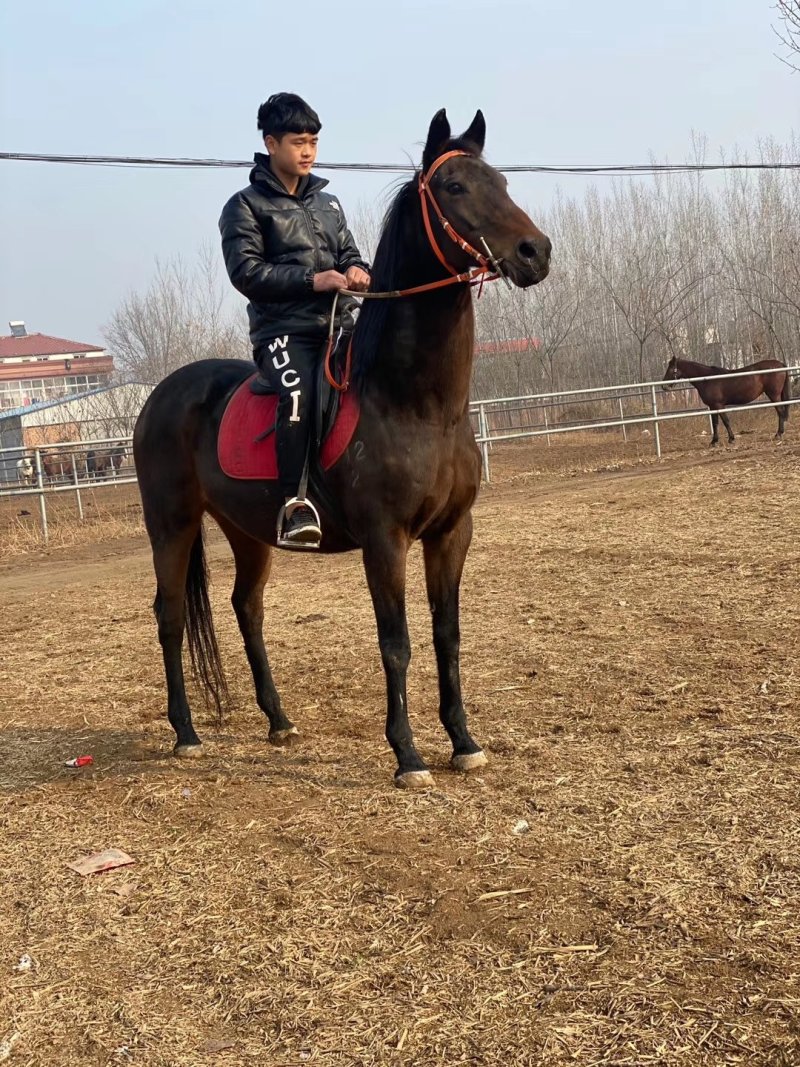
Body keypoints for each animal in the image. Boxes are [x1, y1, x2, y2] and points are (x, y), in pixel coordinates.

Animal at [133, 108, 551, 788]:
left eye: (503, 181)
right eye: (455, 187)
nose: (534, 252)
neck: (414, 403)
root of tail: (162, 395)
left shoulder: (451, 532)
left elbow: (447, 634)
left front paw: (463, 741)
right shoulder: (386, 539)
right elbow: (396, 642)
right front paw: (408, 756)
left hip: (247, 530)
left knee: (246, 607)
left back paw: (279, 722)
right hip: (171, 523)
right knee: (170, 616)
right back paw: (187, 734)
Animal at [662, 355, 791, 446]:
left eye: (671, 369)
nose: (664, 386)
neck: (707, 379)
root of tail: (780, 364)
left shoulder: (718, 405)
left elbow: (725, 421)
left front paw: (731, 439)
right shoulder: (713, 407)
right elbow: (715, 423)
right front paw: (714, 441)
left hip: (774, 395)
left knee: (780, 412)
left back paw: (778, 434)